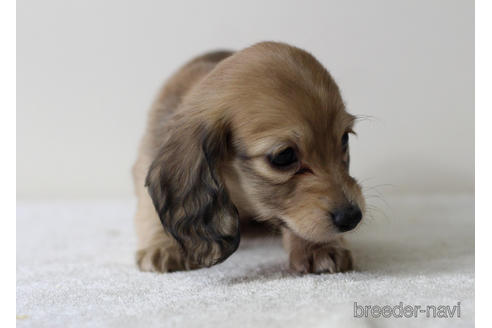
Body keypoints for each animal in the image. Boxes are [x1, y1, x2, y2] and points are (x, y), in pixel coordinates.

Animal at [133, 41, 364, 274]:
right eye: (284, 156)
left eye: (344, 139)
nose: (352, 217)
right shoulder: (148, 154)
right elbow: (151, 208)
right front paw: (164, 245)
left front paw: (319, 246)